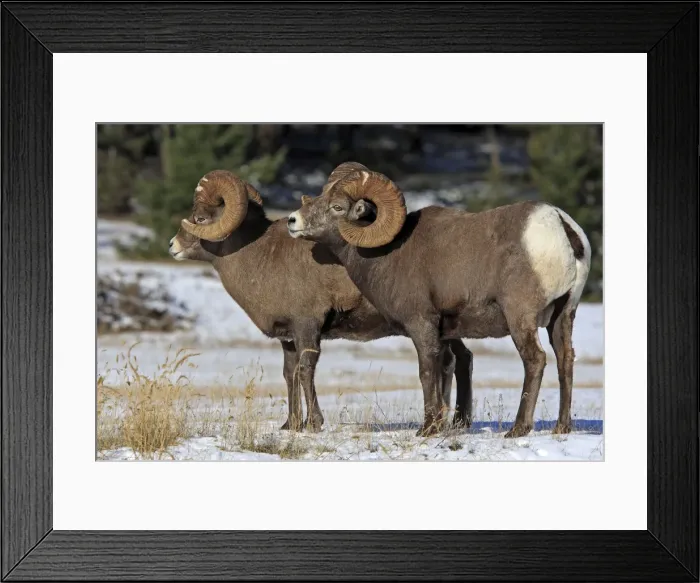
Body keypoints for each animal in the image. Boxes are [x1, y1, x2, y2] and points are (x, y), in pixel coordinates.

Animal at [169, 164, 474, 433]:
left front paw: (313, 424)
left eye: (200, 219)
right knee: (459, 359)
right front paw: (291, 425)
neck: (259, 257)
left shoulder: (307, 327)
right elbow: (289, 373)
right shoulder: (288, 338)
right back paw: (456, 422)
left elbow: (305, 371)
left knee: (450, 361)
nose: (172, 246)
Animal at [287, 167, 591, 437]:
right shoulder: (444, 333)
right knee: (565, 359)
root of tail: (560, 225)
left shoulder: (421, 324)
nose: (292, 220)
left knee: (535, 360)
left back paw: (518, 429)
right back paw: (562, 427)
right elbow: (444, 370)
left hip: (521, 318)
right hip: (563, 315)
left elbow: (426, 372)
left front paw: (427, 429)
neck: (386, 255)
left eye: (337, 207)